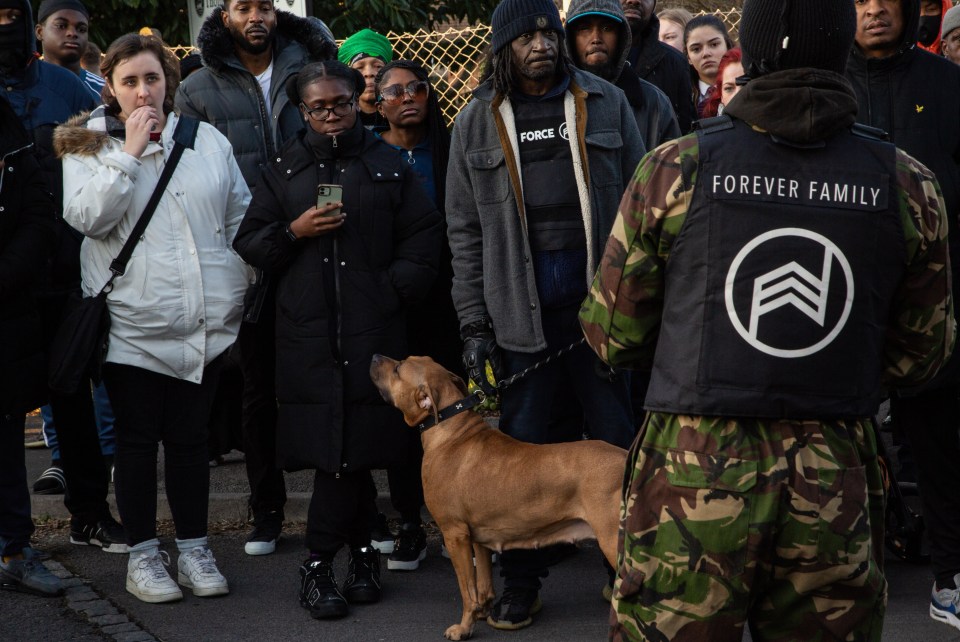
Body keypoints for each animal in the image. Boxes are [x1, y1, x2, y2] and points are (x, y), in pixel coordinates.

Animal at [370, 352, 632, 636]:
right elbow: (483, 586)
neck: (450, 429)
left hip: (612, 540)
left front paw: (464, 628)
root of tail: (627, 458)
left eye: (398, 368)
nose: (375, 356)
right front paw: (482, 613)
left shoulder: (455, 535)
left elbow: (467, 590)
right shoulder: (477, 537)